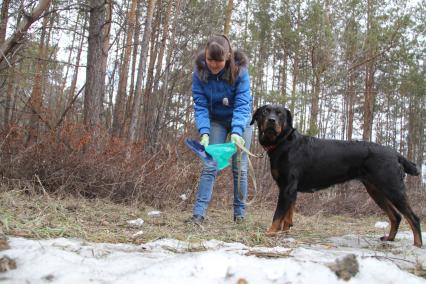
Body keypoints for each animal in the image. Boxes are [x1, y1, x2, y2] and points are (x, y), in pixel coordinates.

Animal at [251, 105, 422, 247]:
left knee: (413, 217)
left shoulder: (287, 188)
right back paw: (389, 239)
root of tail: (395, 154)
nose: (271, 120)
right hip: (376, 191)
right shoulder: (289, 189)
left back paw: (417, 244)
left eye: (280, 113)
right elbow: (287, 216)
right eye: (265, 111)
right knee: (396, 216)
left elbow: (278, 215)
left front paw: (269, 233)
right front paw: (282, 233)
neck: (284, 142)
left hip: (393, 188)